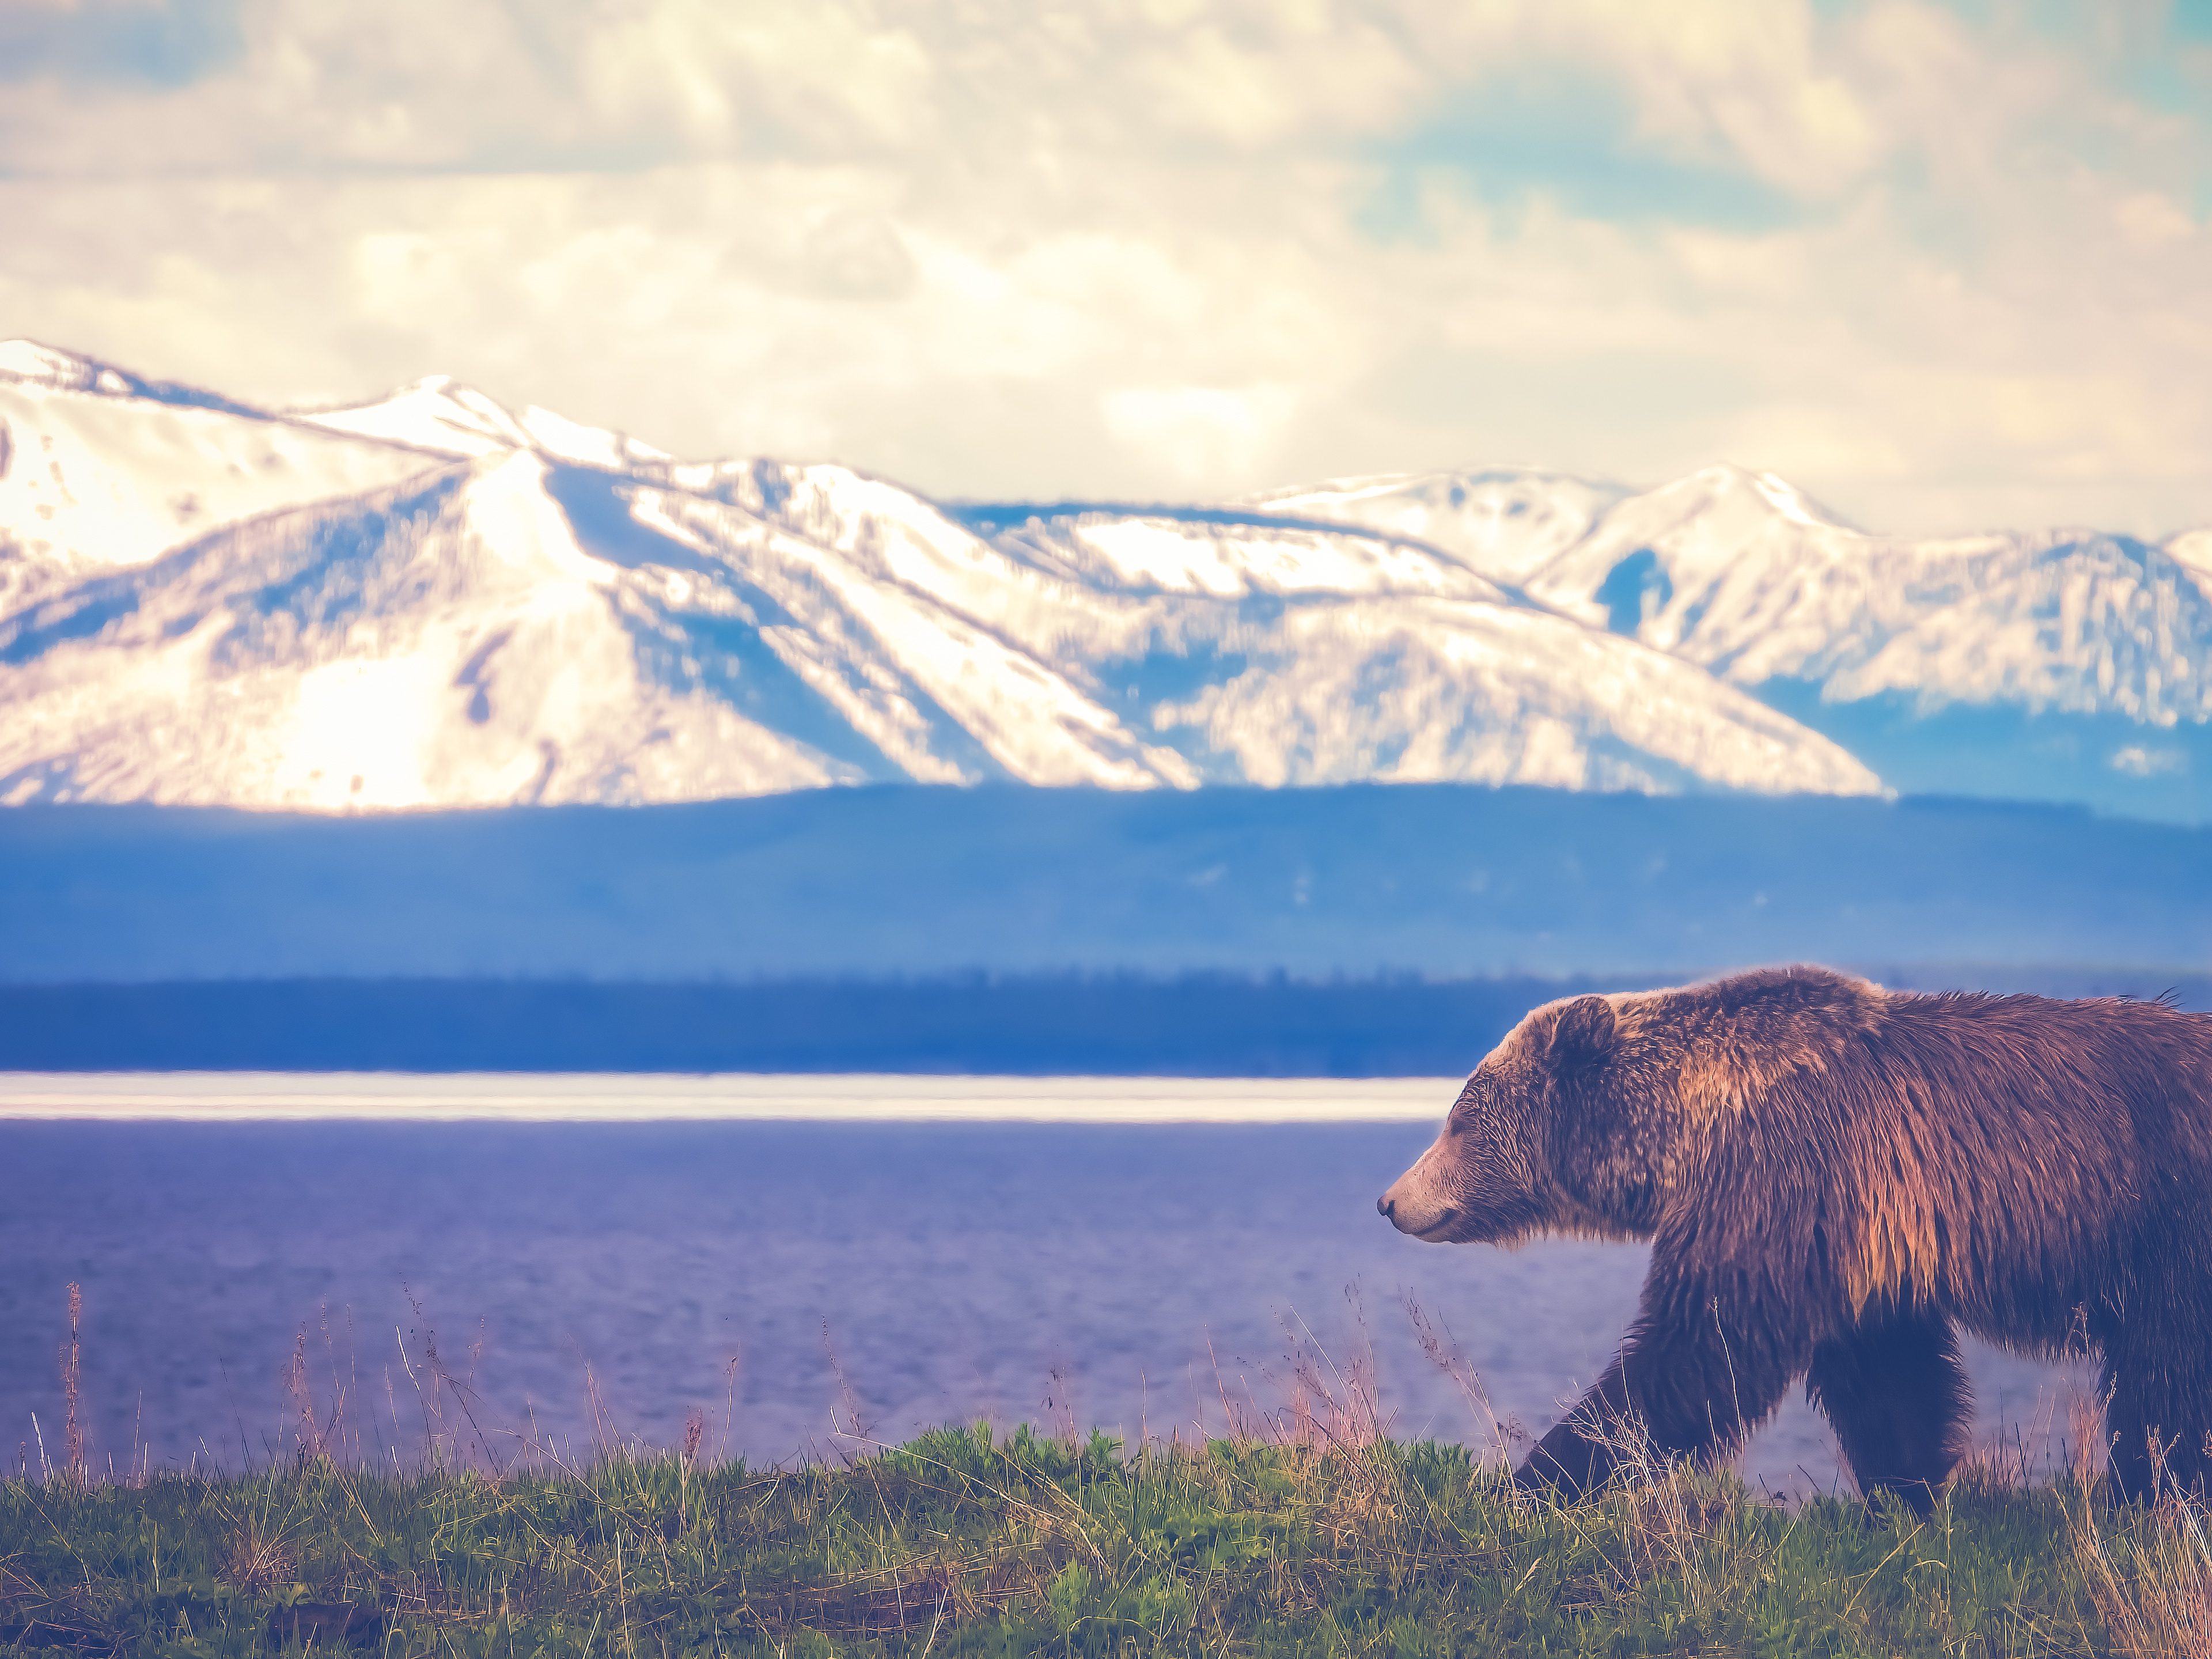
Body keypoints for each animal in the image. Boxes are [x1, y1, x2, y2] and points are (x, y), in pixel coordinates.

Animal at [1377, 964, 2212, 1513]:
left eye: (1460, 1118)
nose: (1390, 1200)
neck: (1690, 1129)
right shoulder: (1852, 1234)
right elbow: (1887, 1374)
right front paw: (1906, 1492)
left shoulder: (1782, 1175)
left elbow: (1702, 1352)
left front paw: (1539, 1478)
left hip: (2166, 1221)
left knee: (2164, 1378)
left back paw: (2148, 1496)